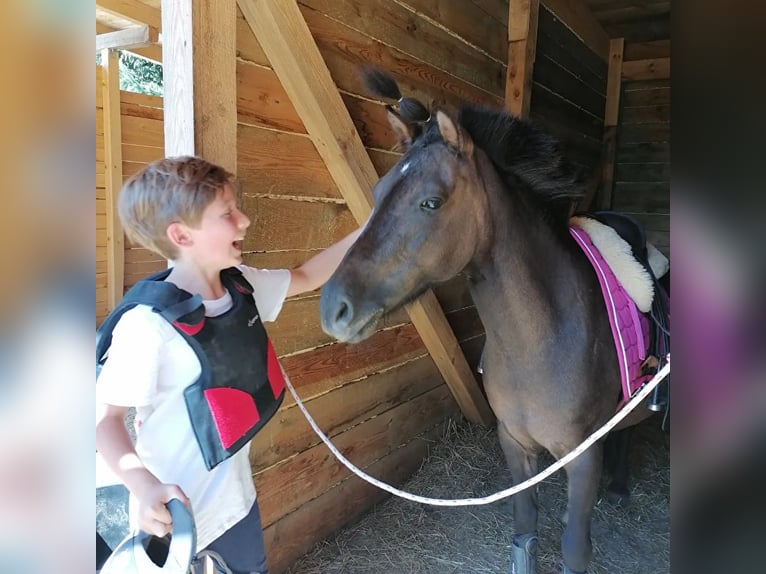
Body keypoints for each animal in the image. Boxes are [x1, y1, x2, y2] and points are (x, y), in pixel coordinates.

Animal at [318, 70, 664, 572]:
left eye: (431, 202)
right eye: (379, 193)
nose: (333, 308)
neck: (541, 343)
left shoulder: (582, 457)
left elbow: (575, 550)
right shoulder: (514, 445)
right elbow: (524, 534)